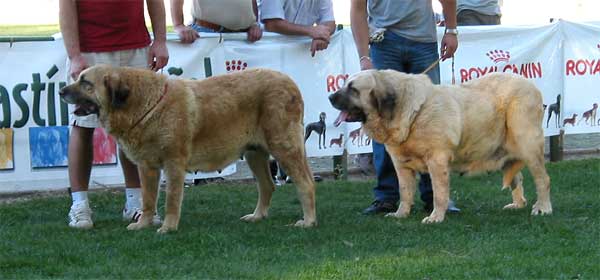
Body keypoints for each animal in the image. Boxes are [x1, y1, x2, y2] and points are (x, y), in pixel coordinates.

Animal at [58, 64, 316, 233]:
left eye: (86, 83)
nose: (61, 91)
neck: (144, 105)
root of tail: (290, 82)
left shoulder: (174, 164)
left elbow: (171, 199)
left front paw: (168, 227)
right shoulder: (147, 167)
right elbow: (148, 199)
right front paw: (143, 224)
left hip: (284, 148)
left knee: (305, 183)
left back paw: (308, 221)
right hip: (255, 154)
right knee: (267, 186)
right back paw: (257, 216)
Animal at [330, 71, 552, 224]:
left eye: (353, 89)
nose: (330, 97)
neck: (409, 112)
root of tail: (531, 85)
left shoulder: (437, 160)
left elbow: (438, 192)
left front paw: (435, 217)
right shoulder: (401, 165)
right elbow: (404, 192)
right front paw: (401, 214)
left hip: (527, 144)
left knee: (543, 179)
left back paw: (542, 208)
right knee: (517, 177)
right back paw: (518, 204)